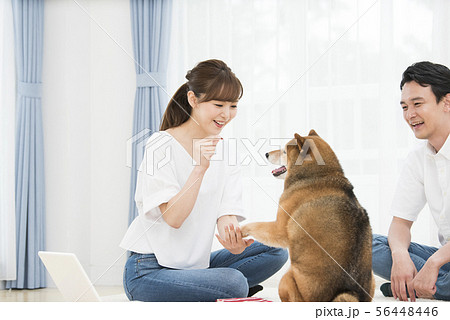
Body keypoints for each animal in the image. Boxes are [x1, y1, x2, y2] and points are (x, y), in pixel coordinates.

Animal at [241, 129, 374, 300]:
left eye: (284, 151)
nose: (266, 154)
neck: (318, 175)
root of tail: (347, 291)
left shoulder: (278, 229)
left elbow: (255, 225)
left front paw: (240, 230)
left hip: (286, 278)